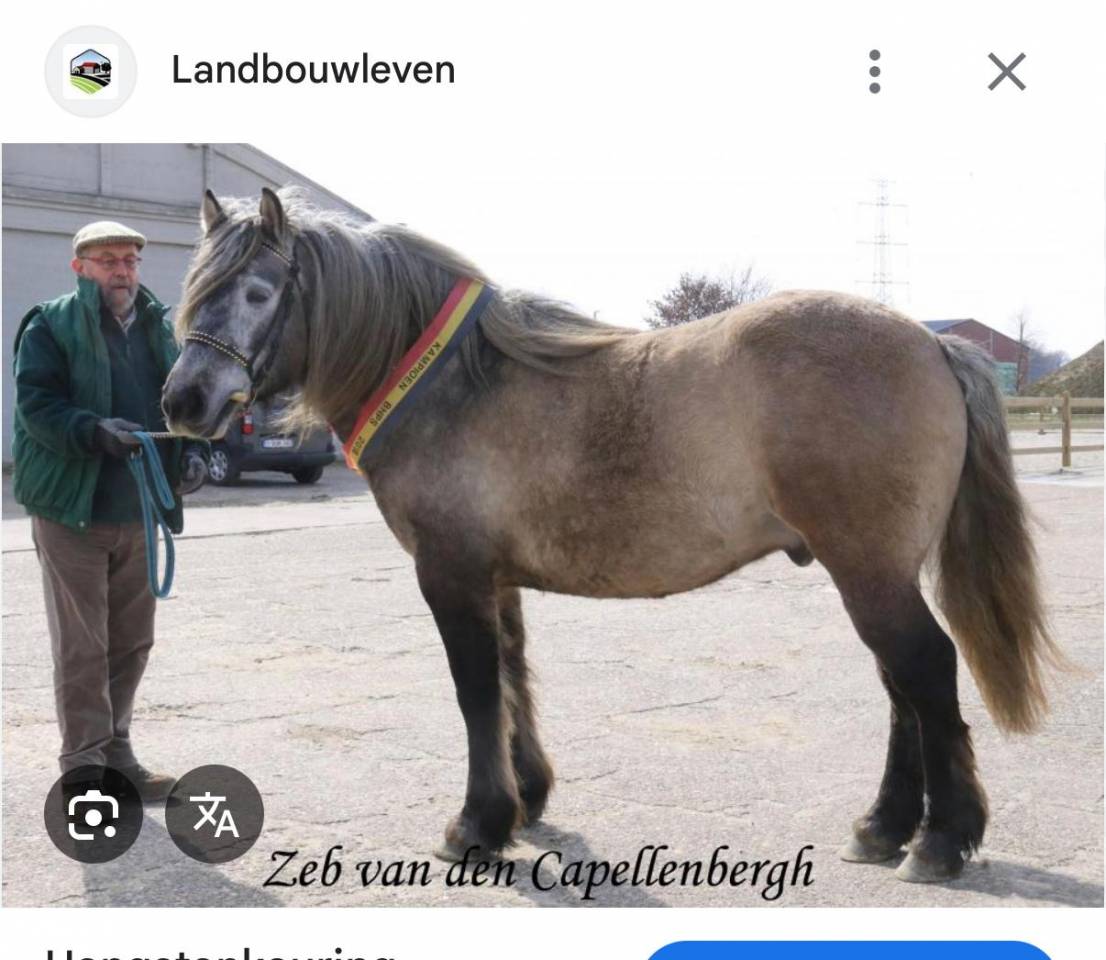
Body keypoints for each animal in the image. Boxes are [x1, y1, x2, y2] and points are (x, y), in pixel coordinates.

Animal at [162, 187, 1059, 883]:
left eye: (258, 292)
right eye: (197, 286)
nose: (184, 401)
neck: (456, 384)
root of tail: (932, 340)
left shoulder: (451, 575)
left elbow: (475, 691)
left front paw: (476, 826)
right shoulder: (496, 578)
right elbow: (513, 680)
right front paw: (525, 802)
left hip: (869, 570)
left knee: (926, 671)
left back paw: (939, 843)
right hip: (871, 569)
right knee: (902, 685)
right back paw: (882, 829)